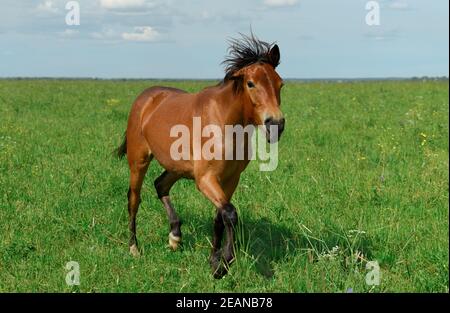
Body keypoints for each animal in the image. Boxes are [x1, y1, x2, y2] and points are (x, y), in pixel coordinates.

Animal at [116, 33, 284, 278]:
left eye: (280, 84)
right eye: (251, 83)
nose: (276, 124)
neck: (224, 121)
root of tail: (146, 98)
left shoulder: (230, 179)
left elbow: (220, 217)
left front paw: (214, 260)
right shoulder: (205, 179)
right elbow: (230, 213)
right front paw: (223, 264)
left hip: (178, 168)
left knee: (160, 185)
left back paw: (175, 236)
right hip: (139, 161)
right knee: (134, 199)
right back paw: (134, 248)